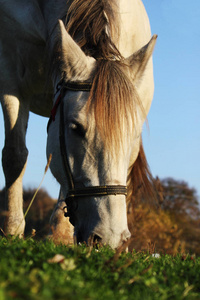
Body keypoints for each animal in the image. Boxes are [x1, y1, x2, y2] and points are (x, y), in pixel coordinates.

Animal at [0, 0, 156, 248]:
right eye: (76, 128)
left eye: (132, 137)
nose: (110, 238)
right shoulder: (10, 79)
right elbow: (15, 156)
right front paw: (12, 229)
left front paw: (60, 235)